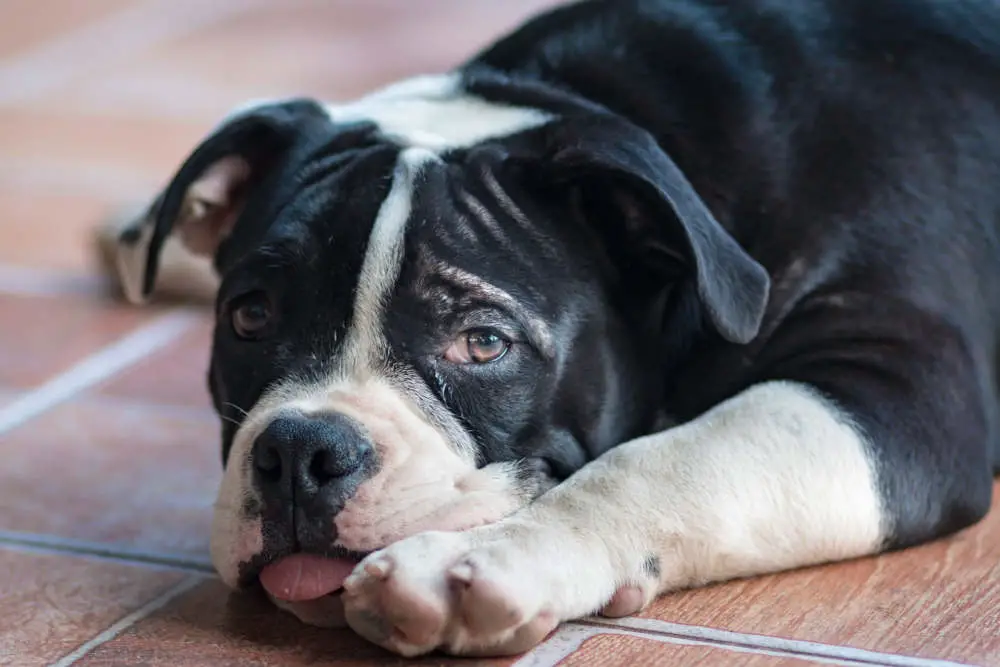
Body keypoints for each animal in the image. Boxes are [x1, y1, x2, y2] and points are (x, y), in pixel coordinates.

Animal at [97, 0, 1000, 656]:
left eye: (483, 342)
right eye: (250, 316)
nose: (298, 451)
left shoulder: (902, 386)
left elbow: (663, 460)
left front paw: (481, 561)